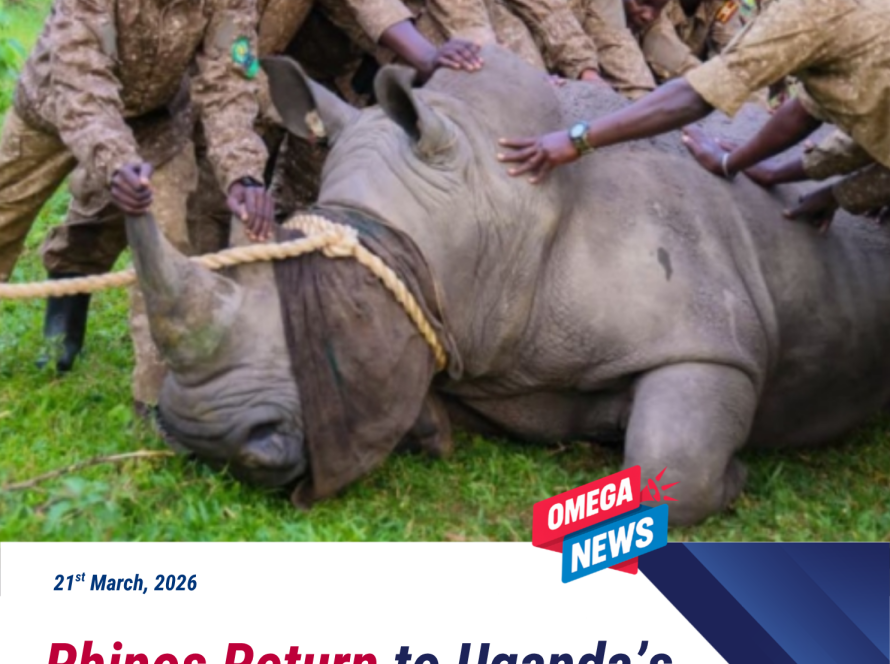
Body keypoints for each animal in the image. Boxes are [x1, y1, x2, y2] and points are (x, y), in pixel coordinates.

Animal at [126, 46, 890, 525]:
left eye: (350, 312)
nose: (204, 438)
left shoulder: (712, 341)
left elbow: (669, 466)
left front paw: (736, 479)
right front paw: (429, 427)